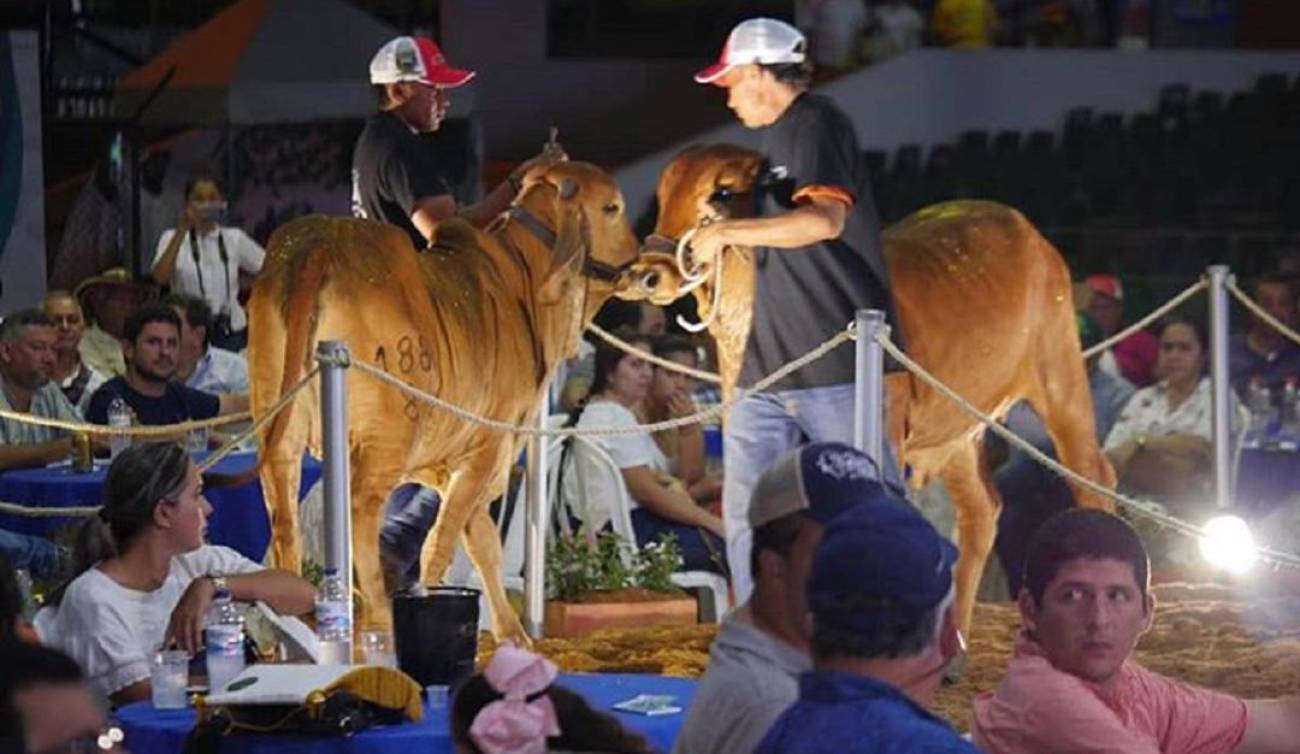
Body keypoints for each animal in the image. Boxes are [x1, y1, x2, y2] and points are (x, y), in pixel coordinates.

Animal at [245, 160, 637, 642]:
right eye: (612, 207)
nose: (641, 263)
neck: (521, 284)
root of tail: (320, 245)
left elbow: (482, 542)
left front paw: (514, 634)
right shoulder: (487, 447)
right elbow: (444, 540)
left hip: (277, 419)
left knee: (283, 513)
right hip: (385, 437)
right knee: (361, 512)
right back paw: (377, 618)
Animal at [621, 143, 1118, 637]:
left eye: (721, 193)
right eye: (662, 197)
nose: (646, 274)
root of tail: (1025, 229)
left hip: (1059, 375)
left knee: (1093, 476)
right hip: (956, 428)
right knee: (981, 509)